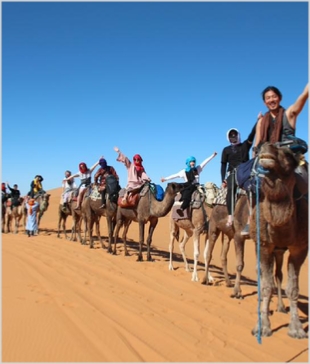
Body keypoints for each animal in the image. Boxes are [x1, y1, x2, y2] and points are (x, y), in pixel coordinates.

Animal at [251, 142, 308, 338]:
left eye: (288, 154)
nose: (265, 146)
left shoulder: (300, 248)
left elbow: (293, 288)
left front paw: (296, 328)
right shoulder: (264, 245)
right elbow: (267, 286)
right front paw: (262, 327)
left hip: (280, 251)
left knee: (279, 275)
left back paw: (281, 307)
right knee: (263, 274)